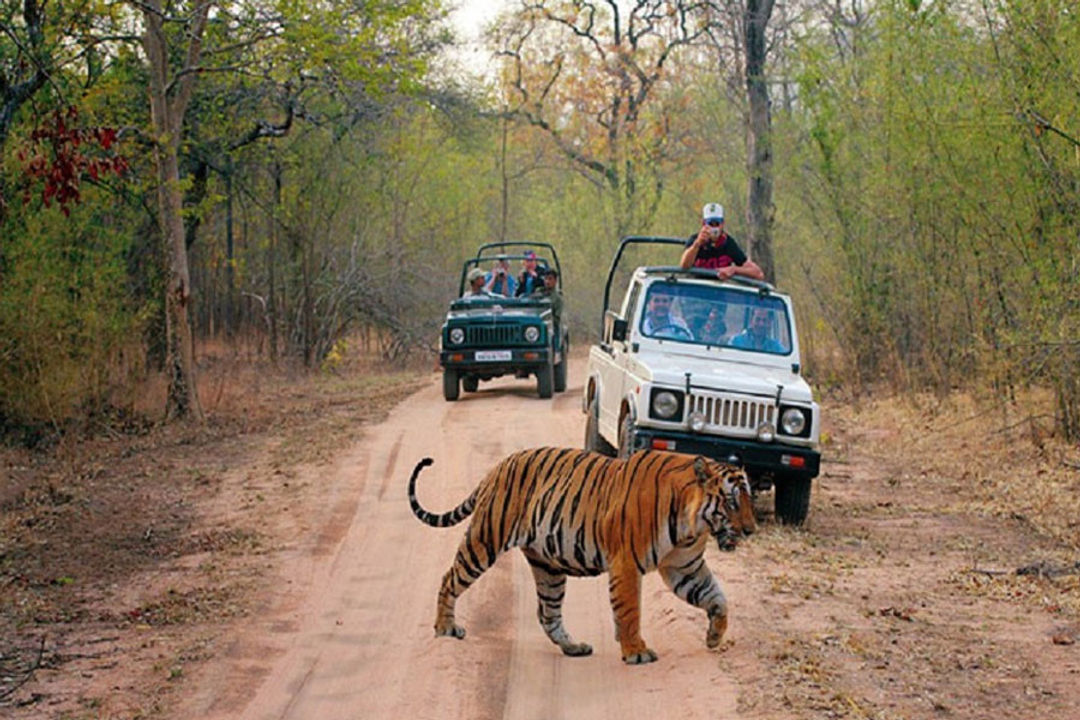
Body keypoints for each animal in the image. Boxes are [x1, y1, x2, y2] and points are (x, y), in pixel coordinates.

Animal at [406, 446, 751, 669]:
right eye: (732, 502)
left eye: (748, 500)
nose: (750, 530)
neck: (691, 525)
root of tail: (499, 465)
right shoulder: (627, 564)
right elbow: (630, 611)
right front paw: (636, 652)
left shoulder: (685, 567)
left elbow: (717, 598)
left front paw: (714, 636)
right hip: (485, 540)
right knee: (449, 578)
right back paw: (445, 628)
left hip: (548, 567)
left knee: (547, 613)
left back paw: (574, 647)